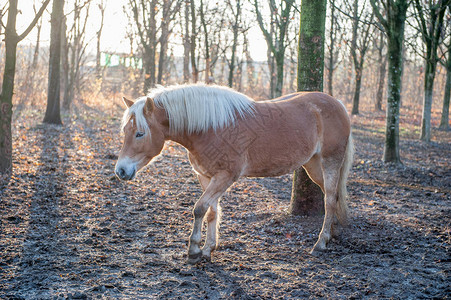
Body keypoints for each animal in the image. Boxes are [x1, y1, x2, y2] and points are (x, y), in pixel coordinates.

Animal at [115, 83, 354, 264]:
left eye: (140, 133)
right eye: (125, 131)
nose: (121, 171)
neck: (209, 129)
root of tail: (338, 105)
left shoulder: (225, 177)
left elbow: (199, 209)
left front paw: (194, 251)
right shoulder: (206, 177)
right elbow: (211, 211)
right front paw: (208, 249)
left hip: (330, 161)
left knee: (330, 198)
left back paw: (320, 242)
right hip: (313, 165)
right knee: (331, 196)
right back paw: (332, 233)